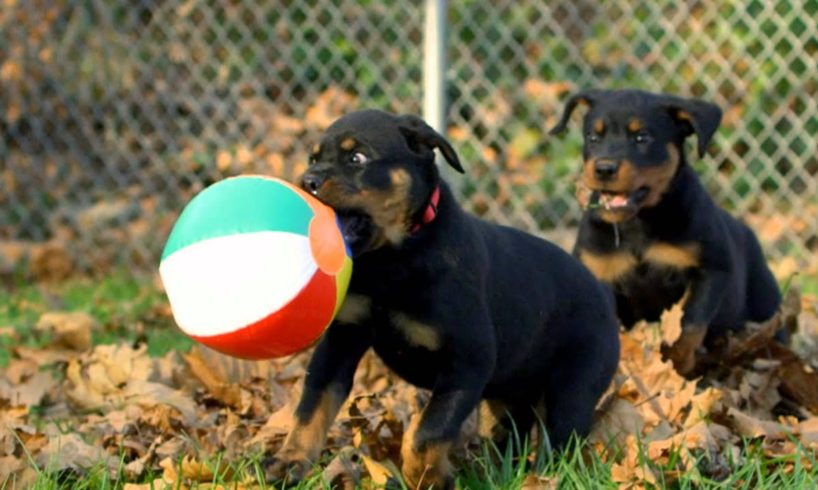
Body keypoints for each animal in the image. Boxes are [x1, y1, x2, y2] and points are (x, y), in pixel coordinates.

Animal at [264, 109, 616, 488]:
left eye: (357, 158)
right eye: (313, 158)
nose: (307, 181)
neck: (392, 259)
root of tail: (603, 293)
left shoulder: (469, 359)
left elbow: (428, 429)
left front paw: (424, 474)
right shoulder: (341, 339)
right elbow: (313, 405)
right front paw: (290, 461)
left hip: (573, 389)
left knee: (560, 440)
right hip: (508, 395)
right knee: (511, 434)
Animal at [544, 90, 780, 376]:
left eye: (642, 138)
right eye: (593, 137)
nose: (603, 169)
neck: (637, 222)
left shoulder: (712, 269)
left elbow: (689, 323)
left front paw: (678, 363)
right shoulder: (598, 269)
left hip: (765, 302)